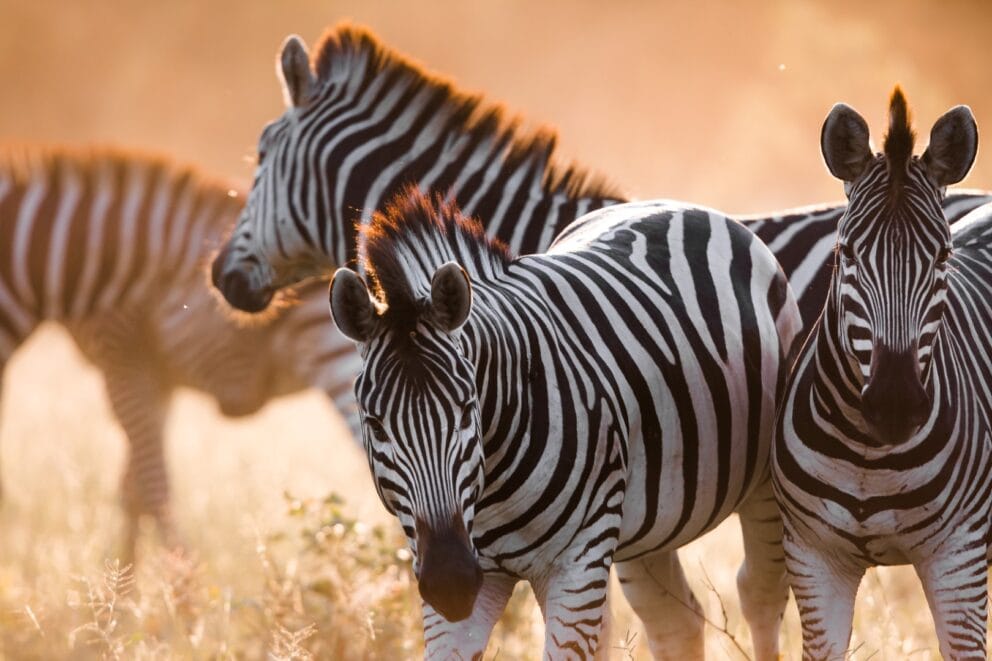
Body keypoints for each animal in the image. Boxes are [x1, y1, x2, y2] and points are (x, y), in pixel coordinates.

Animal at [0, 145, 360, 560]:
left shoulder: (122, 356)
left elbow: (152, 487)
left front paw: (181, 577)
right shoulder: (159, 377)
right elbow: (134, 490)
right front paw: (124, 577)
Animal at [330, 188, 803, 659]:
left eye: (467, 411)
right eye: (375, 425)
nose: (451, 584)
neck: (490, 490)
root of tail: (676, 204)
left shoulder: (577, 563)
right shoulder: (461, 566)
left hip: (764, 485)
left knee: (759, 595)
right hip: (648, 522)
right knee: (675, 622)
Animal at [772, 88, 992, 660]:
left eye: (943, 256)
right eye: (846, 252)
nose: (895, 404)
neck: (868, 456)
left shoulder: (959, 558)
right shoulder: (813, 559)